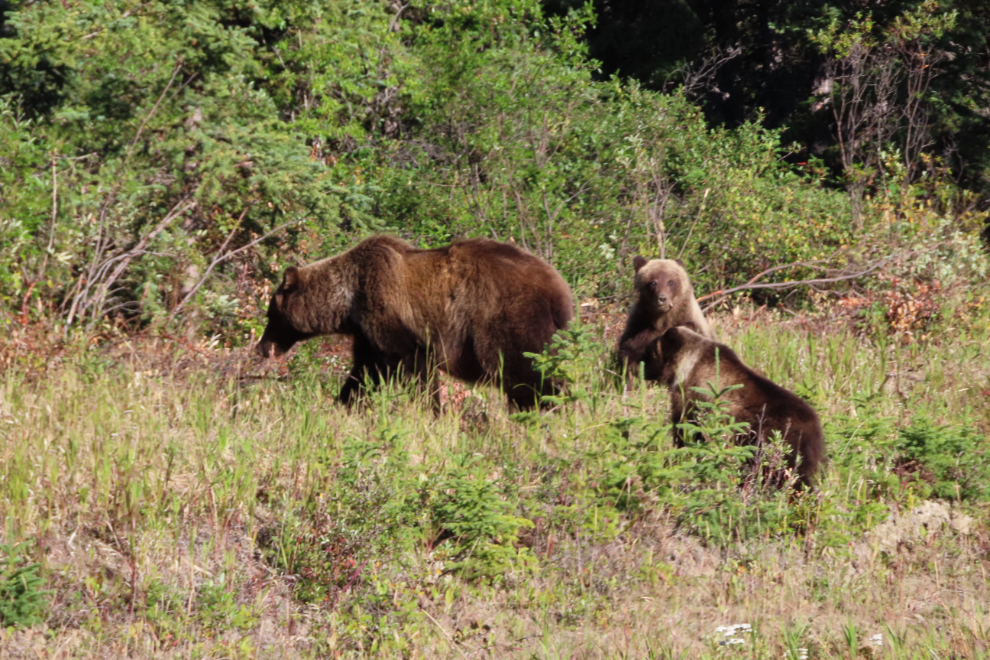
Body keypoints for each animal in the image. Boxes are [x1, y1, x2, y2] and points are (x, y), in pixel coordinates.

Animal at [255, 234, 574, 409]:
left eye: (271, 315)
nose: (262, 347)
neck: (349, 301)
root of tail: (559, 288)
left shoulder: (389, 312)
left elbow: (415, 366)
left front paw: (430, 410)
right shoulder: (368, 335)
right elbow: (365, 372)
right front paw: (345, 403)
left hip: (507, 318)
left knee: (525, 372)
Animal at [617, 256, 713, 387]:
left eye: (671, 282)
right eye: (653, 282)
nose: (662, 298)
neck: (663, 319)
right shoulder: (638, 325)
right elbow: (630, 354)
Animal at [643, 326, 824, 488]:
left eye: (649, 350)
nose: (641, 369)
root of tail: (815, 427)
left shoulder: (690, 400)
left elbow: (686, 431)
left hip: (776, 441)